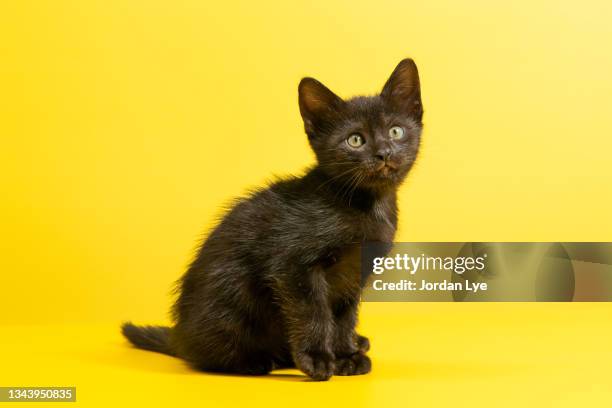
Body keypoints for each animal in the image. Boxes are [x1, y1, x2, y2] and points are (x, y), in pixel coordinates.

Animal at [122, 59, 424, 380]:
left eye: (395, 132)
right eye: (355, 140)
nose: (384, 153)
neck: (365, 204)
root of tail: (180, 335)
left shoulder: (355, 273)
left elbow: (344, 317)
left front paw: (345, 356)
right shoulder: (292, 265)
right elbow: (313, 312)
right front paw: (318, 358)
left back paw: (357, 342)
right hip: (231, 293)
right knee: (207, 354)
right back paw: (254, 361)